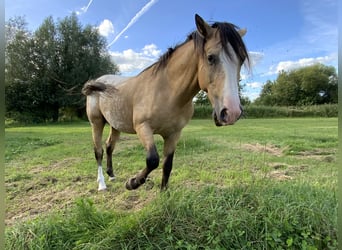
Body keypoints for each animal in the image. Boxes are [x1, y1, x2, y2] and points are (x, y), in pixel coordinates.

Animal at [82, 14, 250, 190]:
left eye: (241, 60)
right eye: (211, 58)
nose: (232, 112)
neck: (167, 91)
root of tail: (99, 81)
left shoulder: (173, 134)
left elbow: (167, 165)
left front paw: (164, 193)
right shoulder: (143, 127)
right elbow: (153, 160)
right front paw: (132, 183)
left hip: (115, 125)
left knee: (109, 146)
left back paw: (112, 175)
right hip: (97, 122)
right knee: (98, 151)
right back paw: (102, 184)